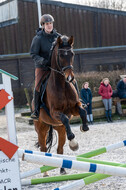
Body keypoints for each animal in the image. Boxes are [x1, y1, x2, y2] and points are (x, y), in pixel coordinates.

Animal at [33, 35, 89, 174]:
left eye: (72, 54)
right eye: (61, 55)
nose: (69, 78)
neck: (62, 85)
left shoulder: (74, 108)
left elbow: (83, 111)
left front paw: (84, 127)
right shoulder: (55, 112)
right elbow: (64, 117)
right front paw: (73, 140)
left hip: (60, 128)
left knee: (60, 150)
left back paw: (63, 169)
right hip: (41, 129)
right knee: (43, 149)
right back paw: (45, 173)